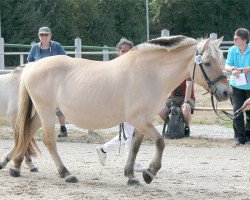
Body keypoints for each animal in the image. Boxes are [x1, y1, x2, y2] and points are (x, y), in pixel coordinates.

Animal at [10, 35, 230, 186]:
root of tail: (31, 66)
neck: (150, 73)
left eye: (221, 60)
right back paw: (66, 174)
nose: (226, 92)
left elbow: (135, 147)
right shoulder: (138, 118)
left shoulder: (144, 120)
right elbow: (160, 141)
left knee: (26, 133)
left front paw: (131, 176)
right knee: (48, 140)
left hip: (42, 113)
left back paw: (15, 166)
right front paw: (149, 173)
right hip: (47, 112)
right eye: (207, 63)